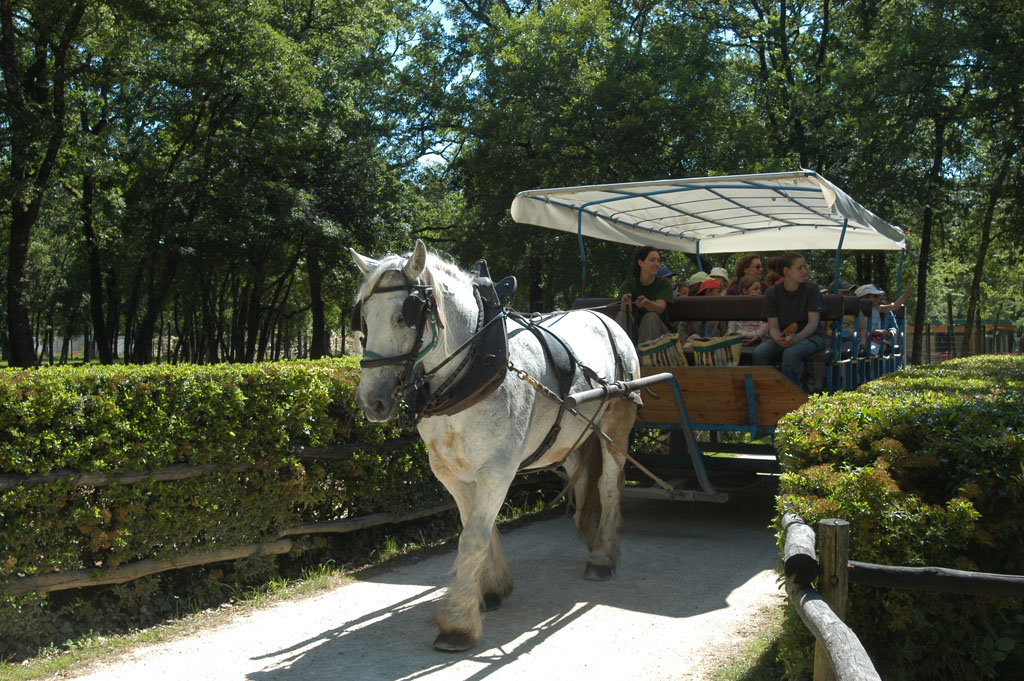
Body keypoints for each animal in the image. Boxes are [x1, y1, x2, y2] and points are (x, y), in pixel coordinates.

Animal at [352, 238, 638, 647]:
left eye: (406, 315)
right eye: (364, 317)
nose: (370, 401)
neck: (471, 371)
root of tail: (608, 318)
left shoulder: (498, 469)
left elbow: (473, 537)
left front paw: (458, 623)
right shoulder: (452, 472)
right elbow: (474, 526)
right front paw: (491, 588)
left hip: (617, 425)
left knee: (609, 485)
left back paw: (601, 556)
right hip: (568, 437)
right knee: (583, 478)